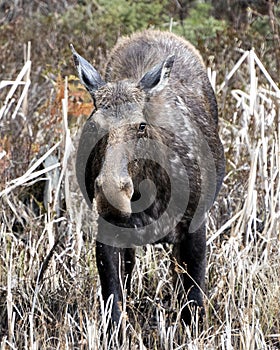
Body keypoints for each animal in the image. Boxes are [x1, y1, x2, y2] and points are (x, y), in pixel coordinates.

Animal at [72, 30, 225, 328]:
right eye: (93, 125)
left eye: (141, 125)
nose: (112, 194)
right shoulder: (108, 232)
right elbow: (113, 305)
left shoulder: (195, 226)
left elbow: (194, 303)